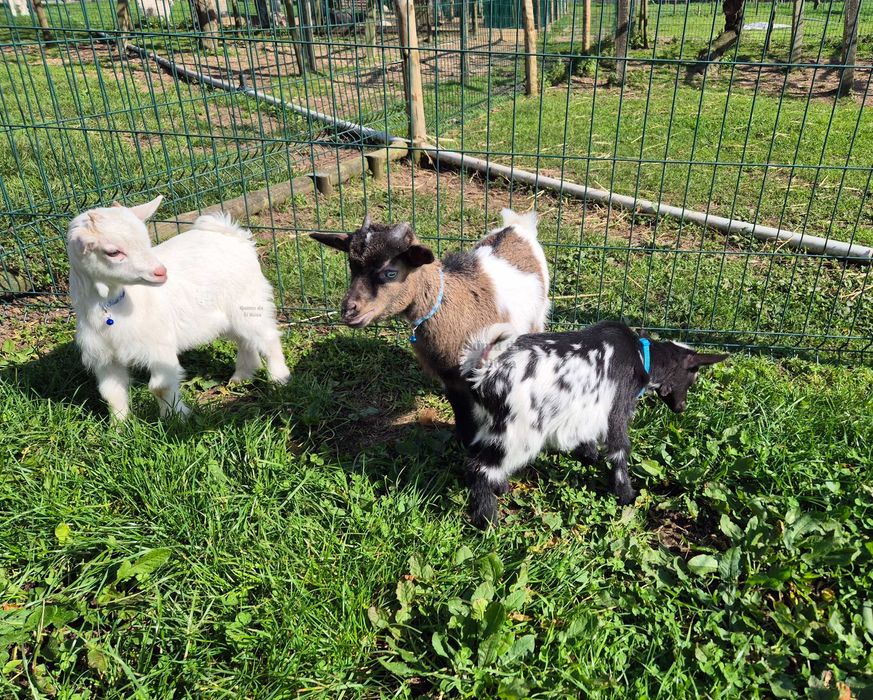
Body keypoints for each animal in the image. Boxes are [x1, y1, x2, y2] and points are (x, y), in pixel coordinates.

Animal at [67, 196, 290, 420]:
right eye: (113, 252)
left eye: (146, 241)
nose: (161, 272)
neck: (110, 309)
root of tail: (233, 235)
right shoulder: (103, 358)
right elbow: (111, 392)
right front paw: (119, 425)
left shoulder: (159, 347)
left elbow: (160, 387)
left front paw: (176, 419)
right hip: (228, 317)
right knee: (245, 340)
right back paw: (242, 376)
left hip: (248, 304)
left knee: (268, 337)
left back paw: (278, 379)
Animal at [311, 210, 549, 446]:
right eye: (352, 266)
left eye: (390, 272)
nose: (350, 311)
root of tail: (516, 225)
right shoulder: (449, 378)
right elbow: (462, 415)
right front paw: (462, 442)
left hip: (538, 317)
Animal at [459, 321, 728, 528]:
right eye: (692, 377)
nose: (681, 408)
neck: (642, 356)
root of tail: (486, 369)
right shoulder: (617, 407)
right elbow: (620, 449)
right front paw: (626, 495)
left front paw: (590, 456)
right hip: (518, 432)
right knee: (479, 467)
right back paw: (487, 519)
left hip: (490, 424)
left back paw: (500, 488)